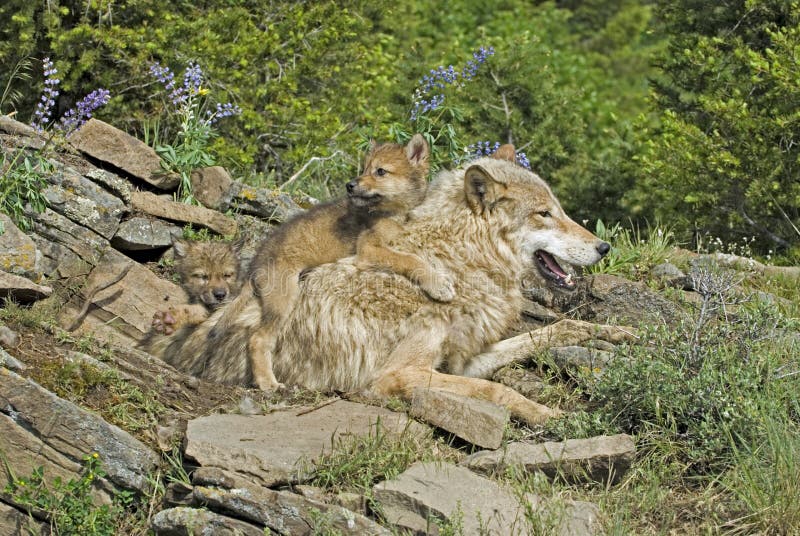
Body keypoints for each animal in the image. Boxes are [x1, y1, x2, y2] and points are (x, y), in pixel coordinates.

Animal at [178, 147, 628, 422]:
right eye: (544, 214)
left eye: (560, 210)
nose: (604, 246)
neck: (457, 261)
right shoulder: (398, 376)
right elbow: (496, 391)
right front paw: (554, 417)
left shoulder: (463, 359)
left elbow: (555, 329)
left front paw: (619, 333)